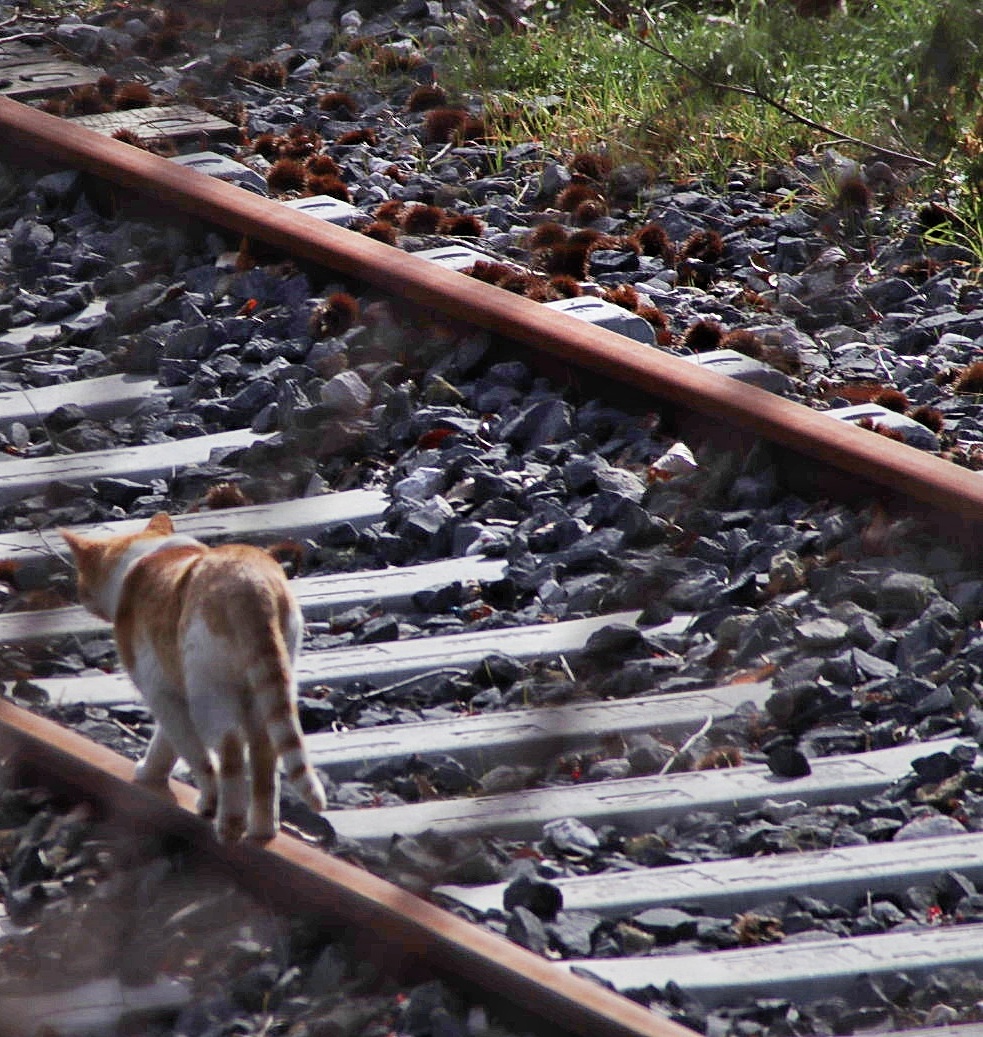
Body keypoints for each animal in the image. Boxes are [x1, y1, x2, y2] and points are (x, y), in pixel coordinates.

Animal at [63, 510, 327, 842]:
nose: (79, 595)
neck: (146, 555)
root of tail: (252, 585)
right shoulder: (172, 688)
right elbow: (169, 742)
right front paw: (151, 774)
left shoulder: (160, 690)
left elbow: (194, 753)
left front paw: (197, 796)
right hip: (269, 688)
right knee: (265, 757)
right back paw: (262, 831)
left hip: (209, 692)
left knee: (230, 753)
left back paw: (229, 827)